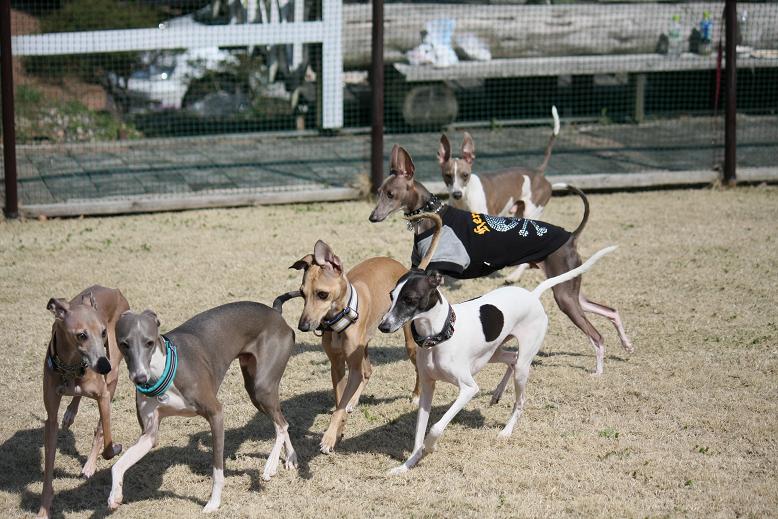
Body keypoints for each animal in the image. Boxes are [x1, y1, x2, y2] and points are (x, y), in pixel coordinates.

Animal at [39, 285, 128, 519]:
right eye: (81, 335)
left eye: (103, 332)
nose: (103, 366)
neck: (71, 366)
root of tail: (113, 290)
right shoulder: (51, 419)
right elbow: (49, 465)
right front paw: (44, 508)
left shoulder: (104, 396)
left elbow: (105, 440)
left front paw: (113, 449)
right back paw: (70, 412)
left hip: (113, 374)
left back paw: (89, 465)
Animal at [108, 302, 297, 513]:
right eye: (124, 344)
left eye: (149, 342)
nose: (140, 378)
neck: (162, 371)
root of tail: (275, 312)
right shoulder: (148, 435)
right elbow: (117, 465)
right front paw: (115, 496)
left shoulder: (216, 413)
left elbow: (217, 470)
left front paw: (213, 502)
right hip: (254, 387)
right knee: (281, 421)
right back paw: (291, 457)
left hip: (262, 387)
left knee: (282, 425)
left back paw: (270, 466)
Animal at [272, 236, 439, 453]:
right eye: (302, 293)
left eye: (322, 294)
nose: (303, 326)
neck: (339, 318)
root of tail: (406, 269)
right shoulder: (337, 366)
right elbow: (340, 402)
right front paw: (338, 431)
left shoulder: (352, 366)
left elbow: (339, 407)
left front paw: (328, 438)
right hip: (364, 345)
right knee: (367, 370)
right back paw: (353, 400)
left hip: (409, 342)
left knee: (415, 367)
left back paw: (416, 395)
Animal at [369, 145, 633, 375]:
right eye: (379, 192)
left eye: (391, 194)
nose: (373, 217)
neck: (434, 213)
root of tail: (571, 235)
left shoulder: (435, 273)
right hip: (569, 288)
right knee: (609, 310)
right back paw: (626, 343)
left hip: (565, 295)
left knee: (596, 335)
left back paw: (598, 371)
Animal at [378, 245, 617, 474]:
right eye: (390, 295)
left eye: (410, 299)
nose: (383, 326)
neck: (440, 335)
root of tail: (533, 295)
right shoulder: (428, 386)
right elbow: (419, 432)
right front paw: (407, 465)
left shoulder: (468, 389)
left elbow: (436, 427)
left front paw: (430, 447)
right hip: (493, 353)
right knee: (512, 358)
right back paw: (497, 393)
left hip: (522, 366)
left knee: (520, 398)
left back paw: (506, 431)